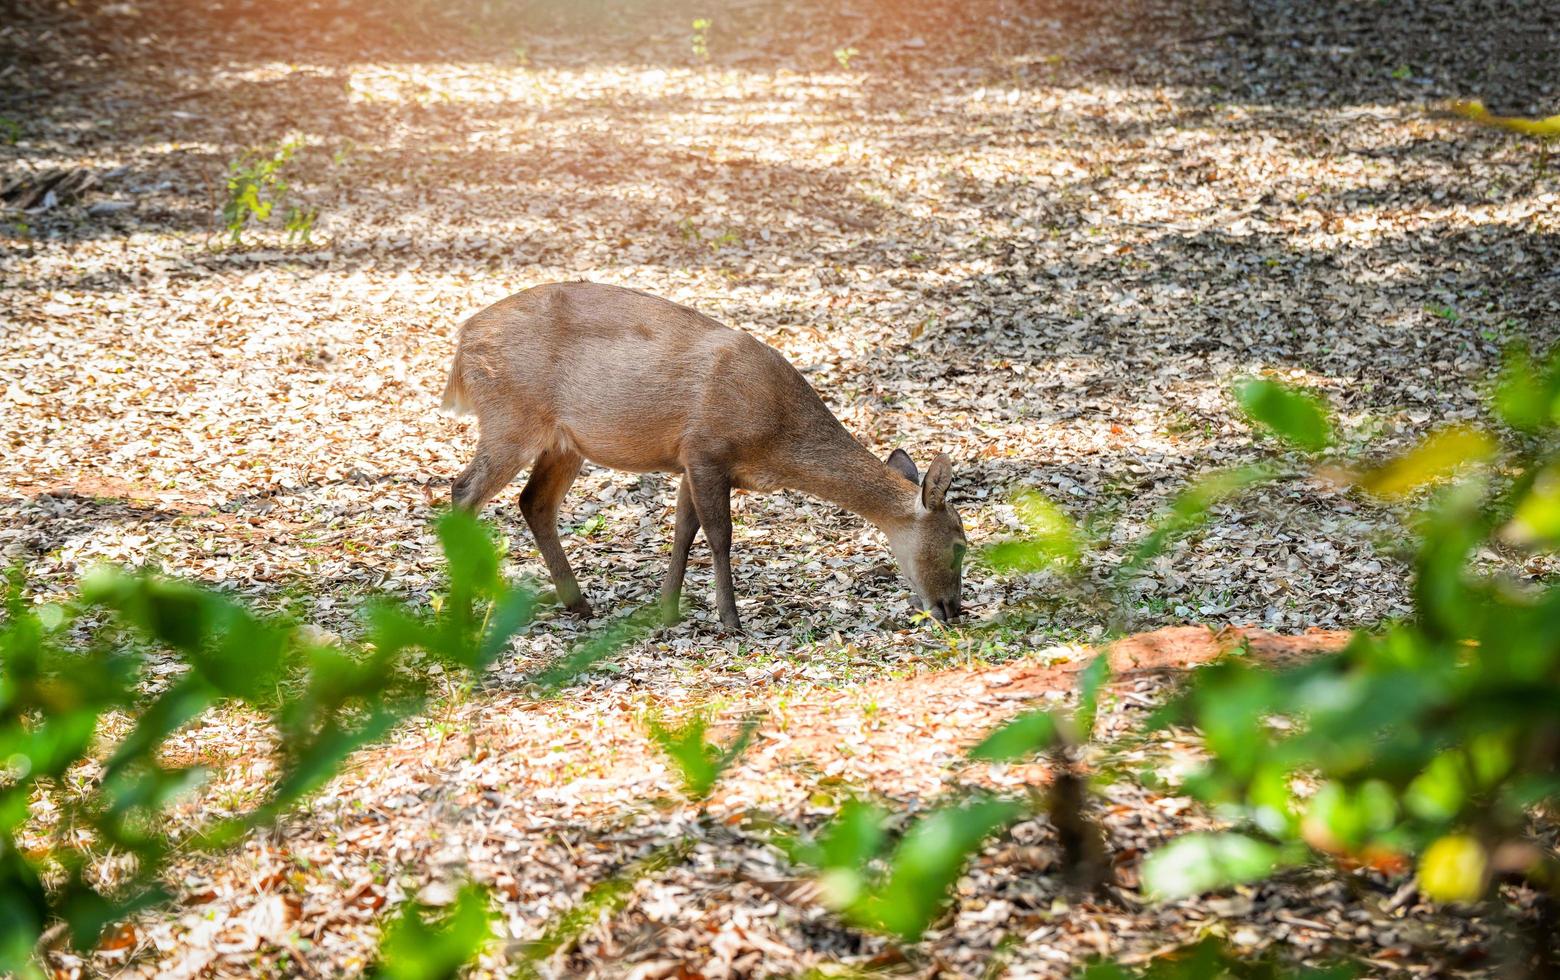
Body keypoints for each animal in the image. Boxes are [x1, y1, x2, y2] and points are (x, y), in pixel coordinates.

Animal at [439, 279, 967, 630]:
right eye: (961, 544)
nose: (952, 610)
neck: (776, 438)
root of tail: (463, 344)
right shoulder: (706, 449)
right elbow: (719, 534)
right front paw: (731, 620)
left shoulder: (689, 460)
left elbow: (683, 530)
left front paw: (668, 609)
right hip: (511, 417)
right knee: (463, 491)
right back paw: (462, 614)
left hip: (564, 441)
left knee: (534, 502)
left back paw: (579, 604)